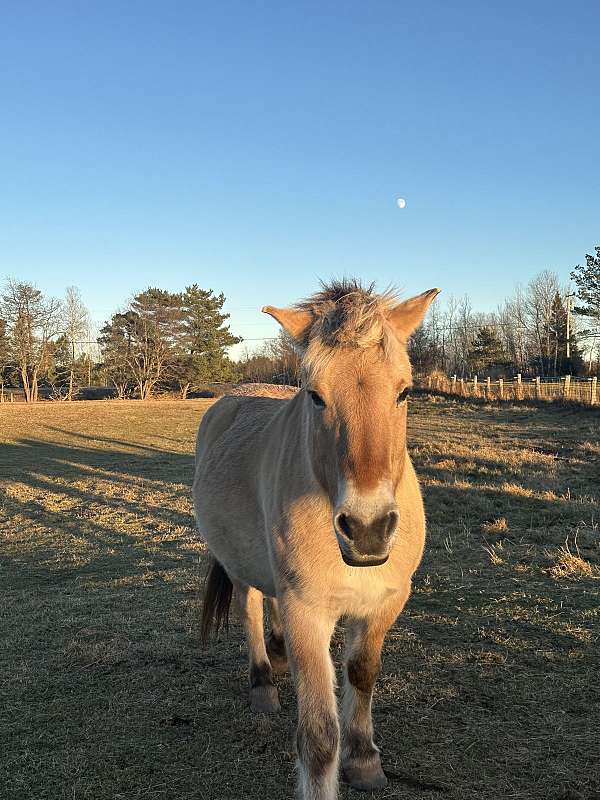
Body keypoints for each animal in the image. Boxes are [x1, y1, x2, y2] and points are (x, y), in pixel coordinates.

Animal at [193, 278, 440, 796]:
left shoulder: (385, 603)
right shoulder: (307, 612)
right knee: (249, 608)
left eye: (404, 392)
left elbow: (362, 674)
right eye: (316, 396)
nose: (367, 529)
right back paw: (263, 683)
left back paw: (278, 654)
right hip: (238, 567)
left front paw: (364, 760)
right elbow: (320, 736)